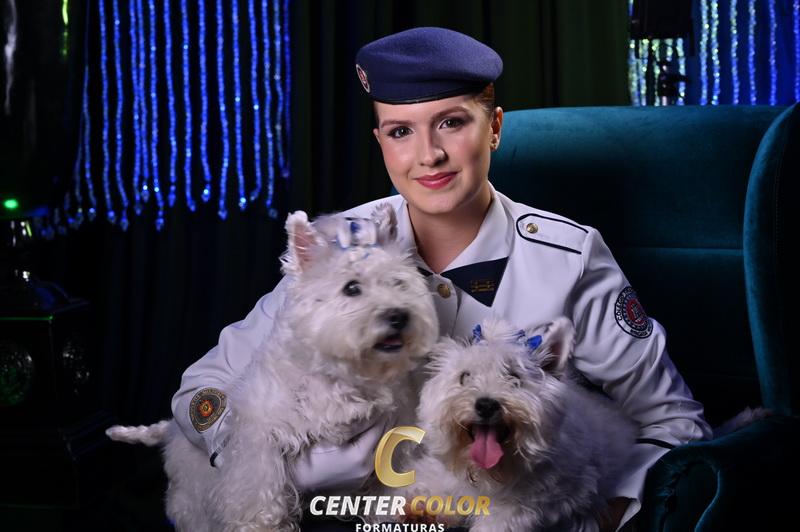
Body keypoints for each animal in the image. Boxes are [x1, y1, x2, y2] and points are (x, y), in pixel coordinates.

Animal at [106, 205, 439, 531]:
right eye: (352, 288)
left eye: (398, 282)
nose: (399, 316)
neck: (342, 374)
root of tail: (173, 429)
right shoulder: (258, 439)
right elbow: (258, 488)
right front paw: (261, 524)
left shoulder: (396, 436)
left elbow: (391, 479)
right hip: (192, 493)